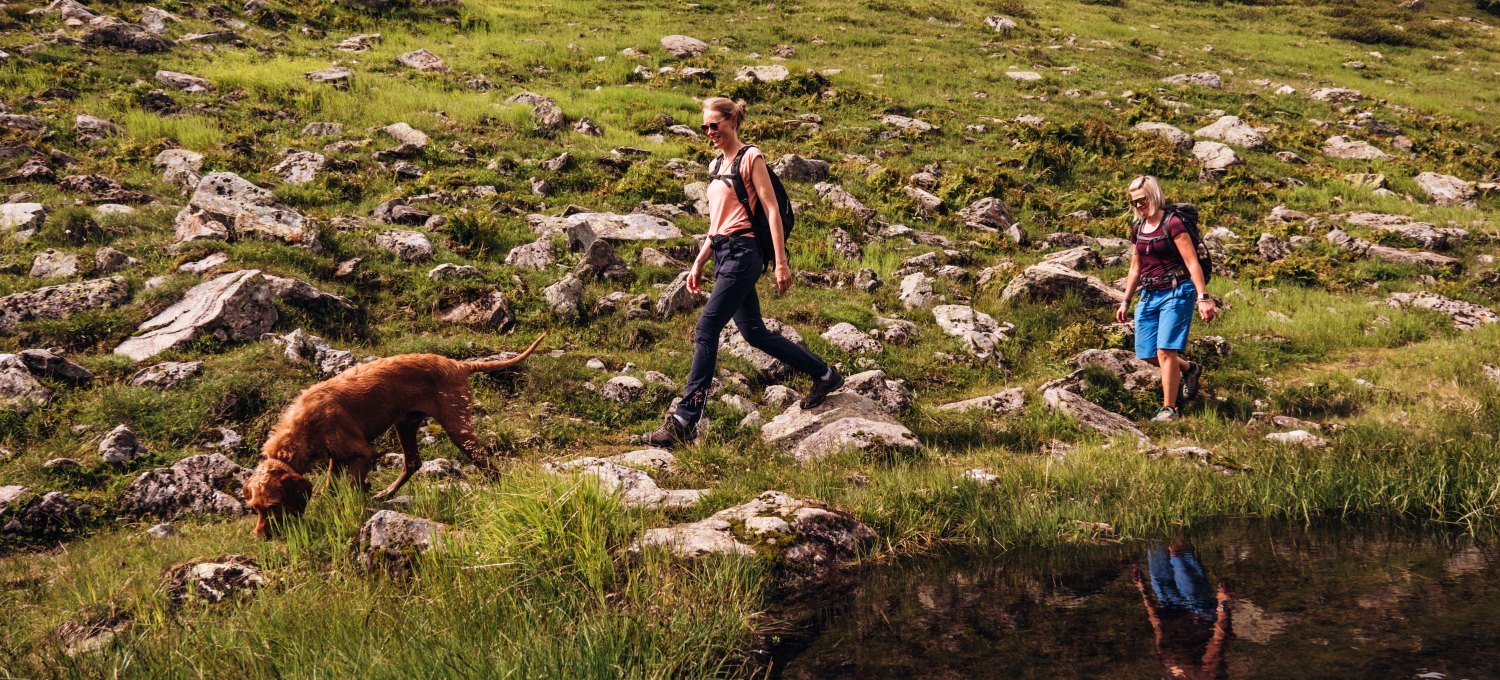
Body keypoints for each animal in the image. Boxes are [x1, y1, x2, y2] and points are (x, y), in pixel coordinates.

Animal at [243, 333, 549, 534]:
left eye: (273, 505)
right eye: (255, 508)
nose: (261, 537)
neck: (303, 425)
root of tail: (458, 364)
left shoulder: (363, 453)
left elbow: (349, 488)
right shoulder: (336, 458)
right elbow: (331, 487)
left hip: (456, 424)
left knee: (487, 464)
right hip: (405, 424)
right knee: (413, 462)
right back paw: (386, 493)